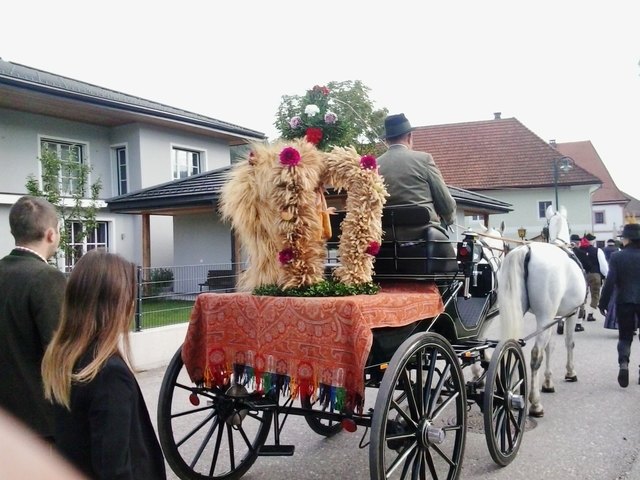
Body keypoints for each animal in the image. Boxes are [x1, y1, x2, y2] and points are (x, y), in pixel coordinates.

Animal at [498, 209, 588, 416]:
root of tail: (526, 250)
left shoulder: (553, 318)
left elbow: (550, 346)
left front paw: (548, 382)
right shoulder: (571, 313)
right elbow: (569, 342)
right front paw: (570, 373)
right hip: (545, 316)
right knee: (535, 354)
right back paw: (535, 404)